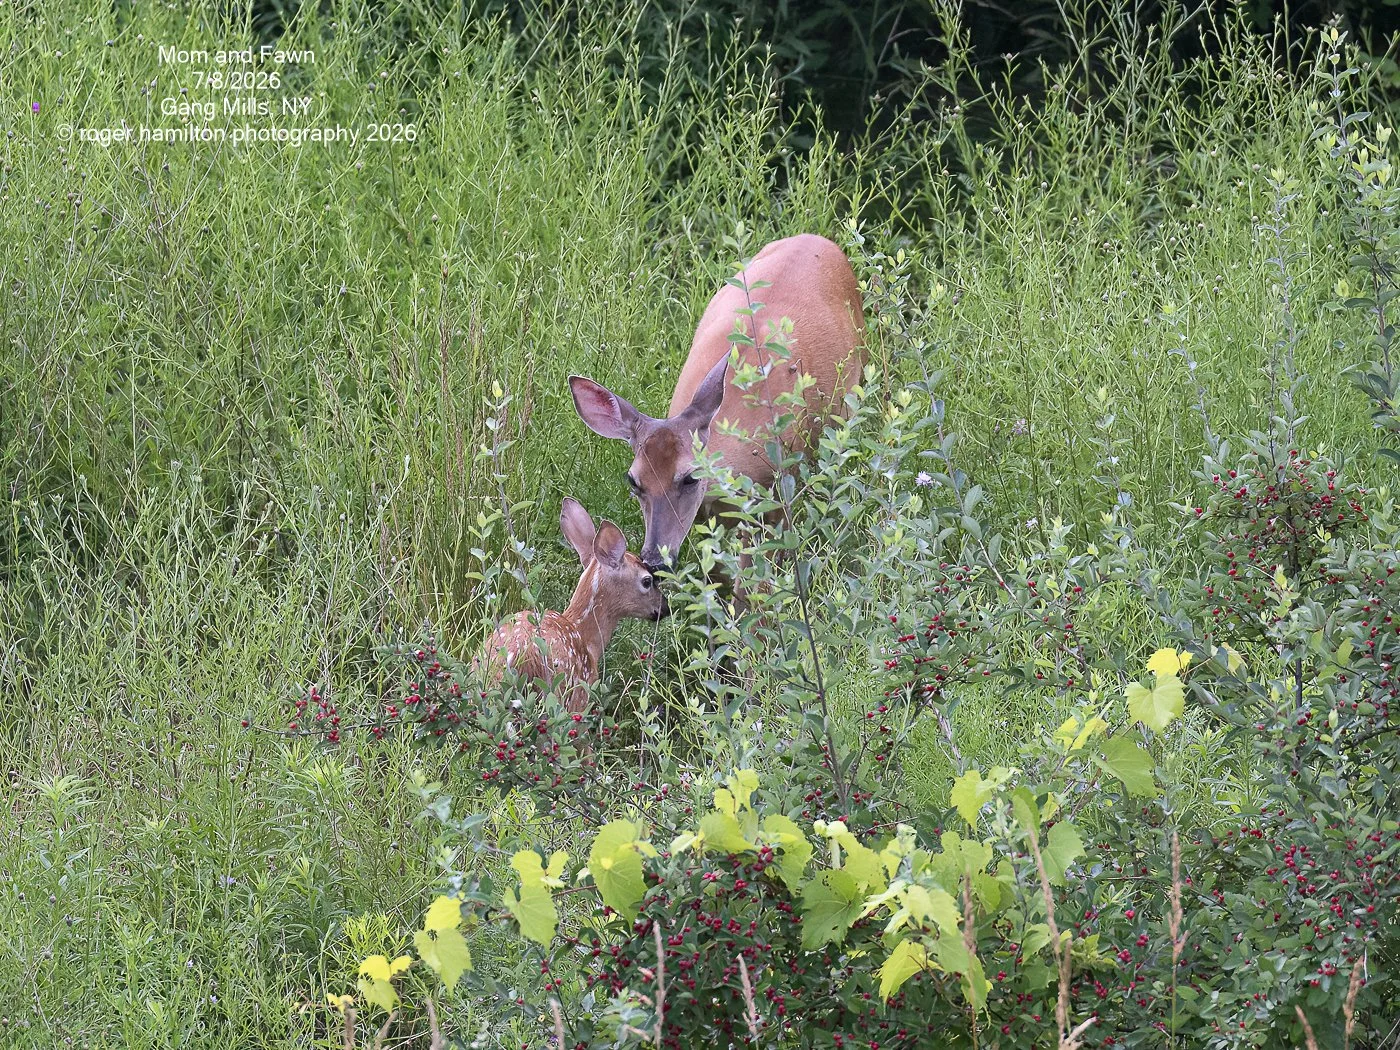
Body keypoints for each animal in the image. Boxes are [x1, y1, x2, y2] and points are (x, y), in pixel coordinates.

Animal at [474, 497, 665, 713]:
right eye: (647, 581)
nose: (664, 608)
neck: (585, 636)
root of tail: (520, 657)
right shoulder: (582, 697)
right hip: (559, 693)